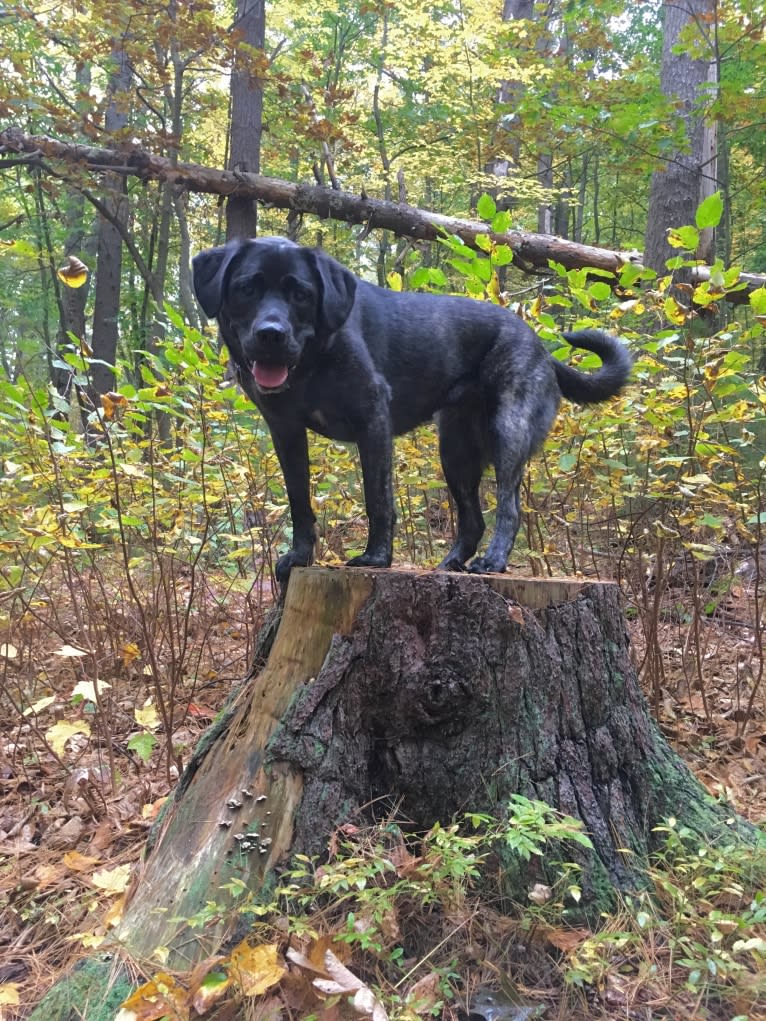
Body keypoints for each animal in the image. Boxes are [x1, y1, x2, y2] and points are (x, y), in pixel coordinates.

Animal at [190, 233, 629, 579]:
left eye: (301, 294)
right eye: (247, 288)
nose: (271, 334)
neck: (312, 364)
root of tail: (541, 346)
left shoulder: (373, 422)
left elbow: (378, 498)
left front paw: (376, 558)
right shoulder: (285, 431)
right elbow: (300, 501)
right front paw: (299, 557)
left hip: (509, 432)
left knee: (509, 506)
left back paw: (493, 561)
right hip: (455, 452)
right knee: (472, 520)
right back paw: (451, 563)